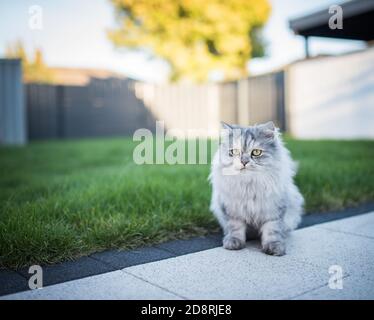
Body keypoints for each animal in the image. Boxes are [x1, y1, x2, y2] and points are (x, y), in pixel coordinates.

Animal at [210, 121, 304, 256]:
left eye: (256, 152)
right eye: (234, 152)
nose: (244, 162)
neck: (249, 185)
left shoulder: (273, 210)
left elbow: (272, 230)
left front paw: (274, 248)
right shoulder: (232, 210)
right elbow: (235, 228)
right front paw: (233, 243)